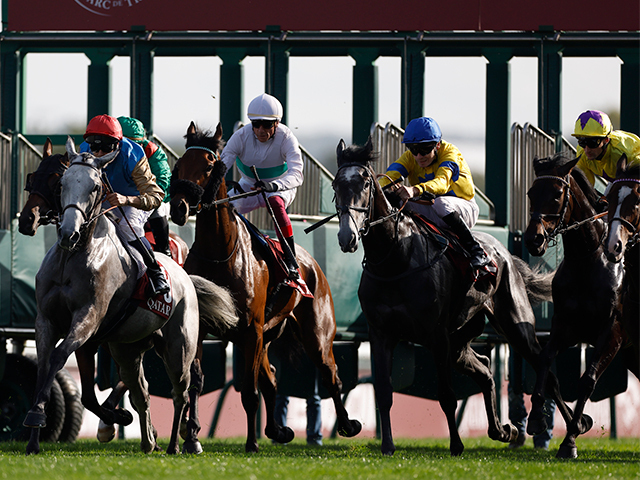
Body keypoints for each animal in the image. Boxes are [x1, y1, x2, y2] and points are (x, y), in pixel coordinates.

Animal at [24, 138, 240, 454]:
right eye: (62, 183)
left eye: (95, 187)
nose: (67, 233)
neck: (72, 258)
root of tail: (185, 277)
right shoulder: (48, 322)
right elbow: (54, 374)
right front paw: (34, 435)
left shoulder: (88, 319)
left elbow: (59, 357)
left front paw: (39, 416)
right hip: (128, 349)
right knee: (141, 391)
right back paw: (148, 440)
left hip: (179, 348)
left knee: (182, 390)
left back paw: (179, 443)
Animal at [169, 122, 360, 452]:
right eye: (179, 165)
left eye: (208, 166)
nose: (179, 208)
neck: (220, 252)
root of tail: (312, 264)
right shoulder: (204, 325)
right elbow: (196, 379)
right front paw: (191, 436)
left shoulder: (251, 330)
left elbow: (249, 389)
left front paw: (251, 443)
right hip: (270, 336)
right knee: (270, 377)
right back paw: (277, 430)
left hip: (315, 334)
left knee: (329, 375)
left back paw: (348, 425)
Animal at [332, 139, 576, 458]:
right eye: (336, 184)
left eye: (364, 183)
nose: (347, 236)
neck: (396, 259)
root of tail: (505, 254)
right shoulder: (380, 334)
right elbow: (384, 393)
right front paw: (387, 446)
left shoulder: (436, 335)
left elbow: (447, 395)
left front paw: (457, 445)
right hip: (459, 340)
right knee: (485, 370)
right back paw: (502, 430)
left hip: (516, 327)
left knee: (549, 375)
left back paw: (574, 428)